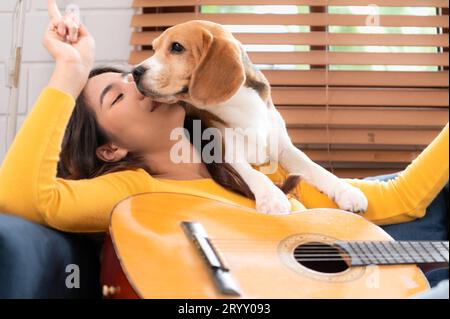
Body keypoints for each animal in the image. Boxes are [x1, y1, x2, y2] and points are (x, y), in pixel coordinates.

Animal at [132, 20, 368, 215]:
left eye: (177, 47)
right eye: (154, 49)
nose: (135, 72)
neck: (243, 107)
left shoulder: (285, 149)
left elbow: (315, 167)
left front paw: (346, 191)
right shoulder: (228, 154)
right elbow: (256, 175)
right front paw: (272, 197)